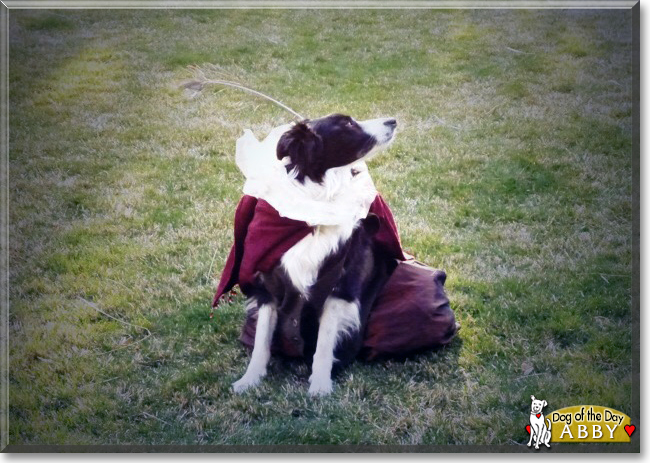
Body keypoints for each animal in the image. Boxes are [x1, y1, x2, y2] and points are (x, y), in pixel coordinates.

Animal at [233, 113, 394, 396]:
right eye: (347, 124)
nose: (393, 121)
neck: (314, 211)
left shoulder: (338, 288)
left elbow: (324, 343)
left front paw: (319, 386)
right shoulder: (267, 286)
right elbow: (262, 340)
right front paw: (250, 379)